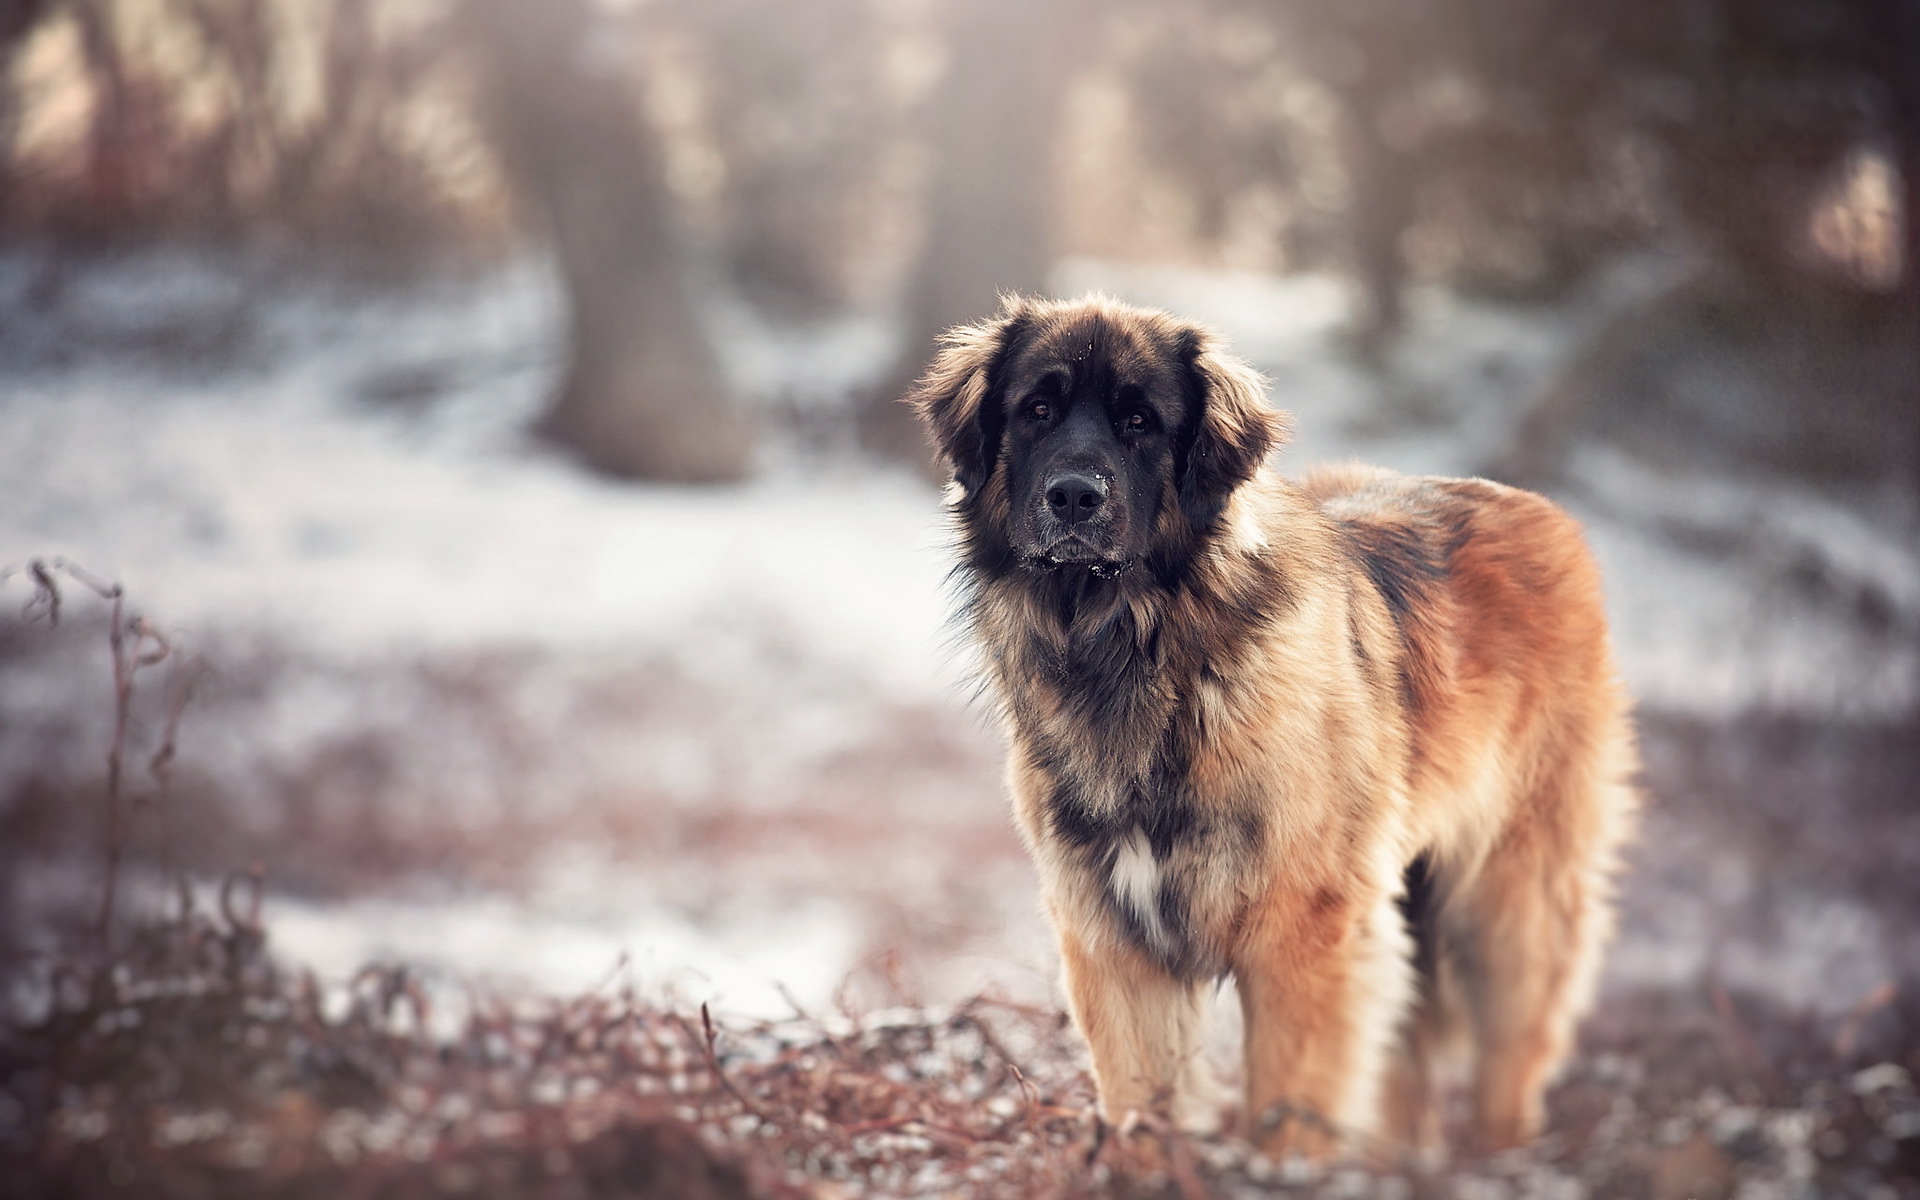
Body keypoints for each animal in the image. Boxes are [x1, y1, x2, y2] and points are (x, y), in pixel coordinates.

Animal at [906, 295, 1643, 1159]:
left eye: (1140, 423)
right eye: (1038, 410)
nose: (1075, 497)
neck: (1140, 652)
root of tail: (1541, 511)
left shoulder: (1305, 936)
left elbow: (1288, 1102)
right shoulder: (1114, 938)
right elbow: (1141, 1095)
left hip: (1508, 906)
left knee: (1511, 1053)